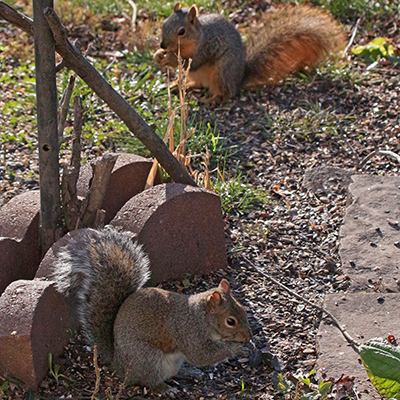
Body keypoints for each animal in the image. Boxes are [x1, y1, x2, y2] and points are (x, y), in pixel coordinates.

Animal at [51, 227, 252, 392]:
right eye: (230, 321)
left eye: (243, 309)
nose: (249, 337)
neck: (199, 317)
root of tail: (117, 364)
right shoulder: (187, 332)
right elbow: (200, 356)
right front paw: (237, 349)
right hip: (148, 359)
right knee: (147, 381)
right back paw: (164, 388)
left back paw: (189, 372)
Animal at [154, 2, 346, 102]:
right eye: (164, 23)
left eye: (181, 31)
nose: (162, 44)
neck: (198, 36)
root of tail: (239, 79)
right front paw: (158, 55)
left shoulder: (206, 46)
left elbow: (192, 62)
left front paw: (170, 58)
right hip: (204, 76)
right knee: (199, 84)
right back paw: (180, 85)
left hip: (223, 71)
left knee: (226, 93)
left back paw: (212, 99)